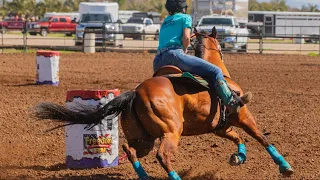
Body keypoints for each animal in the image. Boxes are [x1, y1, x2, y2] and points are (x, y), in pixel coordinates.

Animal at [33, 26, 294, 179]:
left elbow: (238, 138)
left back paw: (145, 177)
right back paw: (174, 176)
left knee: (130, 150)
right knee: (162, 156)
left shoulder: (219, 127)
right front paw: (284, 167)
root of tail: (136, 93)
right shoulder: (243, 116)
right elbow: (261, 138)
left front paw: (238, 157)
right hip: (171, 131)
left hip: (143, 138)